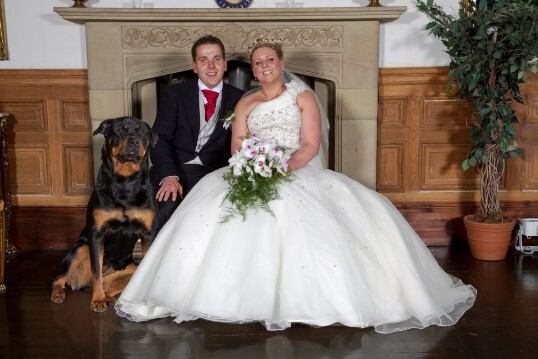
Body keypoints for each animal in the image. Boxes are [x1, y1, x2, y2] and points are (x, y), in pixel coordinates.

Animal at [50, 117, 157, 312]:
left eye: (142, 132)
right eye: (120, 131)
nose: (134, 141)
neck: (126, 180)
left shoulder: (148, 233)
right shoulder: (96, 234)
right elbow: (96, 272)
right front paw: (97, 300)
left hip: (130, 268)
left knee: (110, 284)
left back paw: (111, 298)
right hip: (81, 249)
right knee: (61, 278)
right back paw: (60, 293)